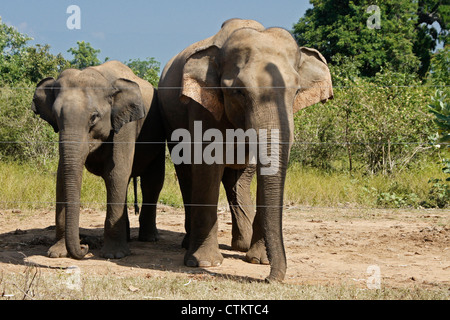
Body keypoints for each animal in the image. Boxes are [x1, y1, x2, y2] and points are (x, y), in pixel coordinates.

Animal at [32, 60, 165, 260]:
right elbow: (62, 176)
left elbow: (116, 173)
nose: (85, 247)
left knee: (153, 181)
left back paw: (149, 239)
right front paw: (56, 254)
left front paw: (114, 255)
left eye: (94, 117)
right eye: (55, 116)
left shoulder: (126, 126)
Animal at [159, 18, 334, 282]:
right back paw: (189, 244)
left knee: (238, 179)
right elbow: (207, 167)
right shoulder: (202, 106)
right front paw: (204, 263)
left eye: (296, 91)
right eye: (239, 91)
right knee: (186, 172)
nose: (270, 280)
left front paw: (259, 261)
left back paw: (241, 246)